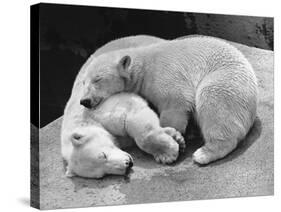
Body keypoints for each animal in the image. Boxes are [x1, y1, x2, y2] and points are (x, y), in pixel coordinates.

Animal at [60, 35, 184, 179]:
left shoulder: (105, 109)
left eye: (103, 155)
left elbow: (132, 116)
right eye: (102, 175)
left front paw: (168, 152)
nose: (127, 164)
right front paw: (175, 136)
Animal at [80, 36, 258, 166]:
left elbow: (175, 102)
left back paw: (204, 153)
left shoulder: (163, 75)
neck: (142, 66)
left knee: (213, 103)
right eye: (83, 82)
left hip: (225, 80)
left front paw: (173, 138)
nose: (84, 101)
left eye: (97, 79)